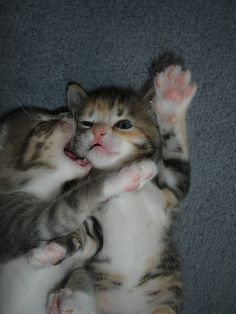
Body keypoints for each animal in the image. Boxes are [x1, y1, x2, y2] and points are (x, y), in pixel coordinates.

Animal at [48, 63, 197, 314]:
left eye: (124, 124)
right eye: (86, 123)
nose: (98, 131)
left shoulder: (170, 190)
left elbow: (176, 160)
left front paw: (171, 98)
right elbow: (82, 236)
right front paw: (53, 250)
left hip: (164, 304)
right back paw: (69, 302)